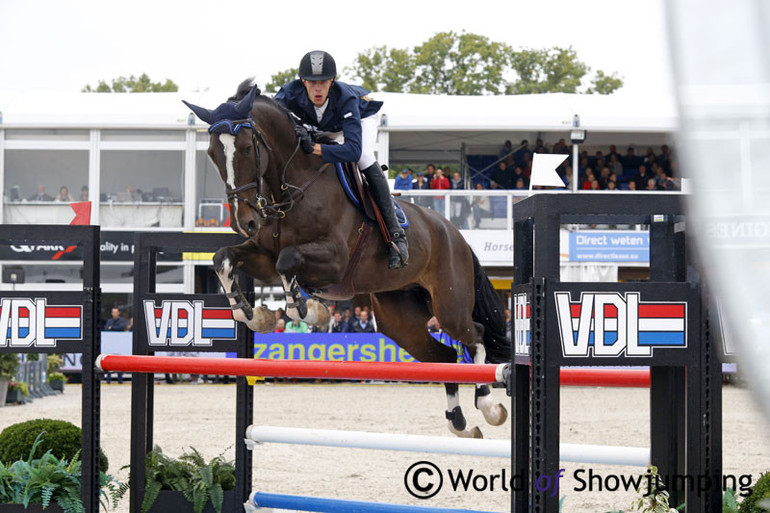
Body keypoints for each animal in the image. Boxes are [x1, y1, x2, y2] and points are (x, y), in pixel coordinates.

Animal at [184, 80, 510, 436]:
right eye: (213, 153)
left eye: (245, 148)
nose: (244, 223)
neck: (291, 187)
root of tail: (456, 234)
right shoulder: (264, 256)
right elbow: (224, 258)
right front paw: (253, 315)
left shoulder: (335, 260)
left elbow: (288, 261)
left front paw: (308, 310)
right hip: (399, 318)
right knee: (444, 356)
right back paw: (460, 422)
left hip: (449, 303)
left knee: (474, 335)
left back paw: (489, 406)